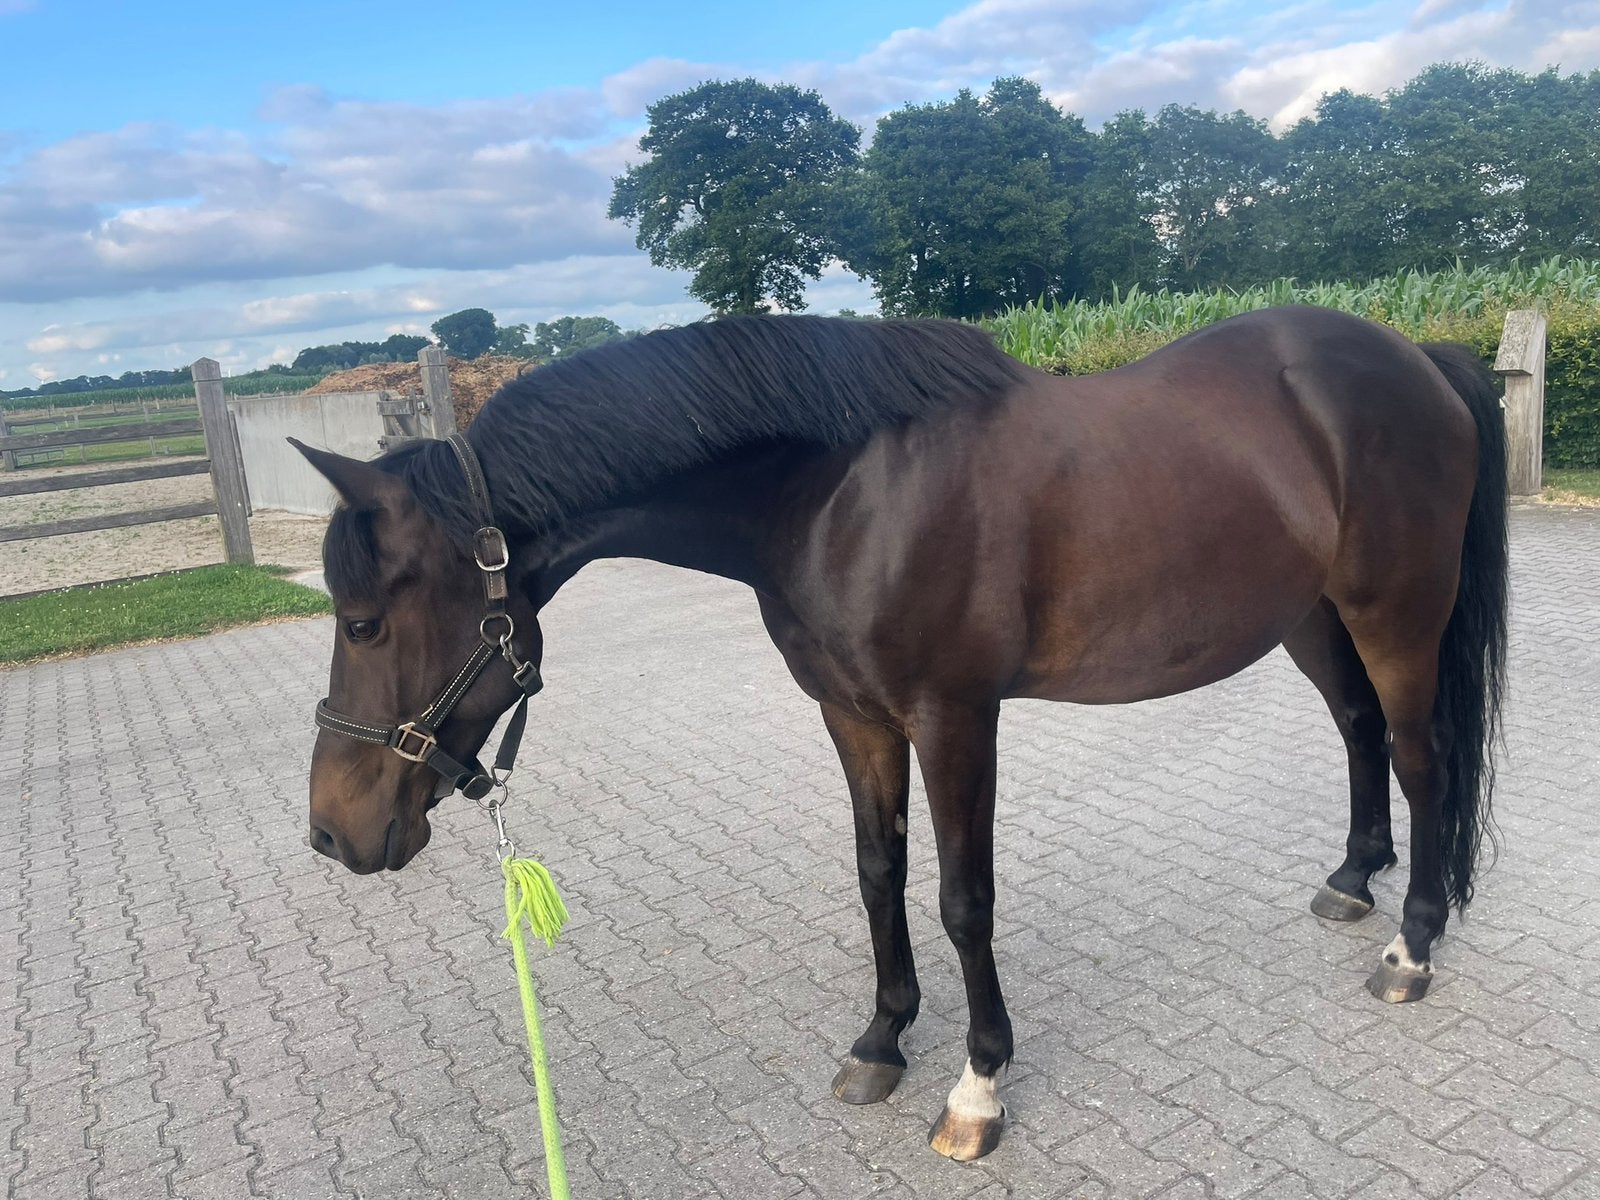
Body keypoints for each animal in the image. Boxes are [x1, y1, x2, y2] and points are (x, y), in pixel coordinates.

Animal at [293, 306, 1507, 1161]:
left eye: (363, 620)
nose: (332, 832)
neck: (839, 492)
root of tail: (1418, 357)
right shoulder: (854, 714)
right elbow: (879, 872)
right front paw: (881, 1041)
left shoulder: (953, 717)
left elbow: (964, 898)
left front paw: (976, 1089)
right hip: (1312, 618)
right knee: (1357, 732)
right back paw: (1352, 881)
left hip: (1396, 613)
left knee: (1420, 759)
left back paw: (1411, 949)